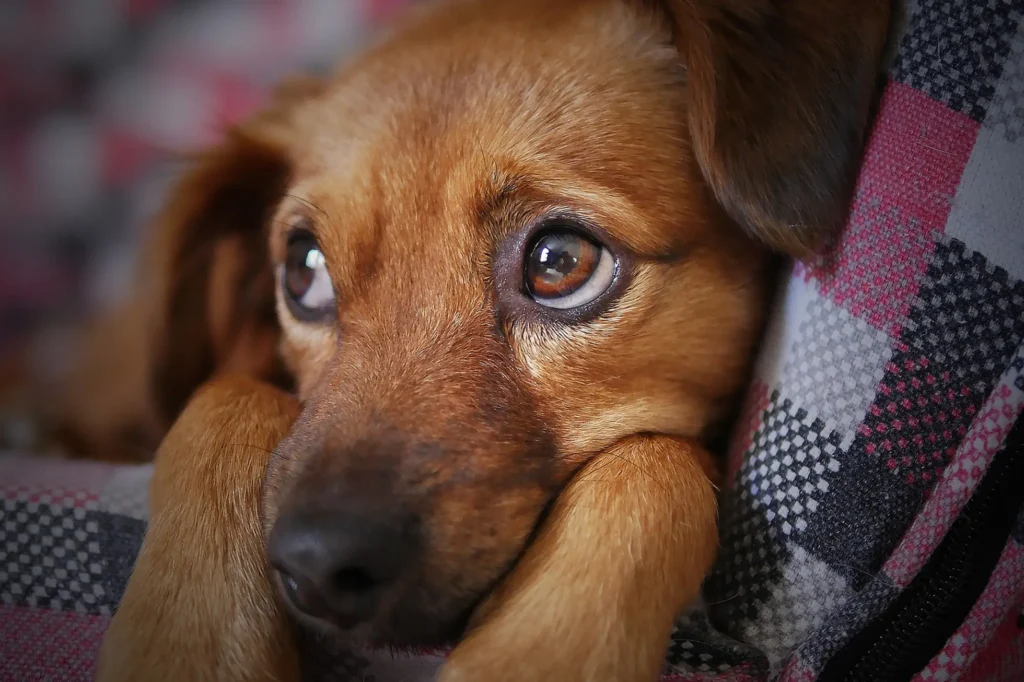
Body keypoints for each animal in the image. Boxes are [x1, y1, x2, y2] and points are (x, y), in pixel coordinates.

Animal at [75, 0, 892, 675]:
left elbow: (653, 463)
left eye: (560, 263)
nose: (315, 567)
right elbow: (224, 396)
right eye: (304, 270)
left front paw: (535, 651)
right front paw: (187, 643)